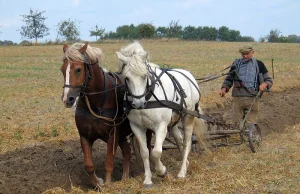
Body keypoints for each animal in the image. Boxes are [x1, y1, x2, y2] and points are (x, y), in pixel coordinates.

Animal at [59, 42, 132, 186]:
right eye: (62, 69)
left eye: (78, 69)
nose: (67, 99)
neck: (97, 102)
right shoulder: (84, 135)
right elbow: (88, 165)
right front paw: (98, 183)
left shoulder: (113, 135)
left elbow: (109, 162)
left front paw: (108, 184)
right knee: (127, 153)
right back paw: (125, 178)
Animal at [115, 41, 206, 188]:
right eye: (127, 78)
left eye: (144, 76)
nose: (138, 103)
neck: (148, 98)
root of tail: (189, 75)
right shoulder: (137, 127)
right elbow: (145, 152)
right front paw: (147, 179)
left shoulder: (161, 126)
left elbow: (156, 152)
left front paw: (162, 171)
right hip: (173, 121)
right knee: (179, 139)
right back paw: (185, 163)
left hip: (188, 117)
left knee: (186, 142)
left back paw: (182, 172)